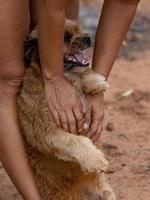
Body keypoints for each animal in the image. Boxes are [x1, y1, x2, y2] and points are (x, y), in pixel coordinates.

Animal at [17, 21, 116, 199]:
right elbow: (76, 141)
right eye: (64, 38)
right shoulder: (46, 134)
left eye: (79, 29)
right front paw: (95, 158)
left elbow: (81, 75)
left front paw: (95, 81)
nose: (88, 38)